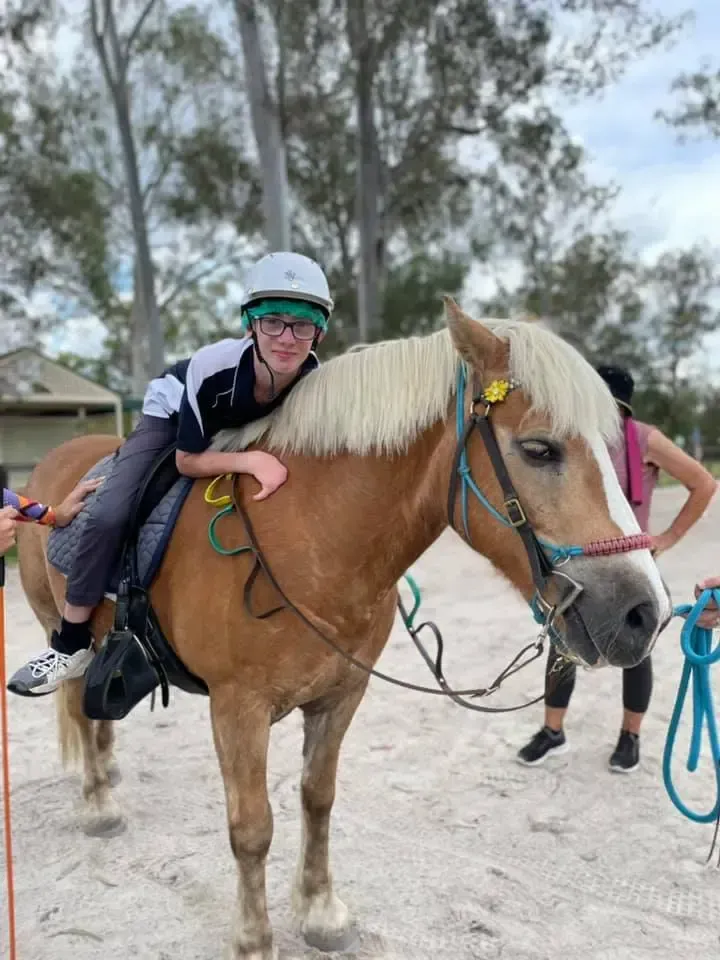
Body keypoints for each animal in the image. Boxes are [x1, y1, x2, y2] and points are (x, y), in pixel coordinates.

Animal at [16, 299, 670, 959]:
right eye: (539, 449)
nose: (645, 613)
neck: (307, 538)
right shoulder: (237, 708)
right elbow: (251, 829)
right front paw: (254, 940)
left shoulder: (341, 695)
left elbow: (318, 798)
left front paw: (321, 912)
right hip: (57, 623)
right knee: (76, 697)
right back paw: (99, 802)